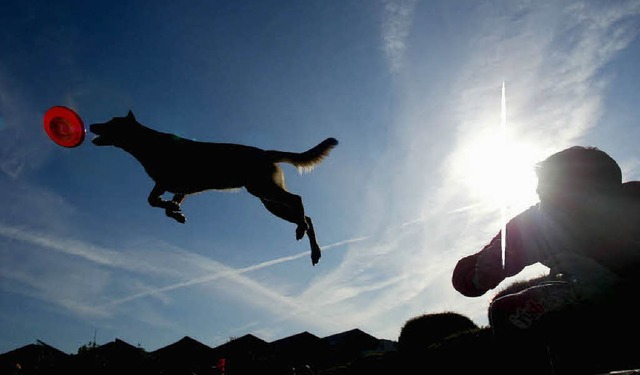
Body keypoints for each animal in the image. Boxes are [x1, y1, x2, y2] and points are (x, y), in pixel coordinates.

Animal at [91, 110, 340, 266]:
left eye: (111, 121)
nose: (92, 124)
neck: (148, 144)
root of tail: (265, 152)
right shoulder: (179, 187)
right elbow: (160, 203)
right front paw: (176, 212)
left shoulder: (169, 183)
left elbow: (153, 201)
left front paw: (173, 209)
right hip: (270, 202)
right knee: (307, 216)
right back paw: (313, 248)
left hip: (265, 191)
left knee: (298, 200)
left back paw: (302, 233)